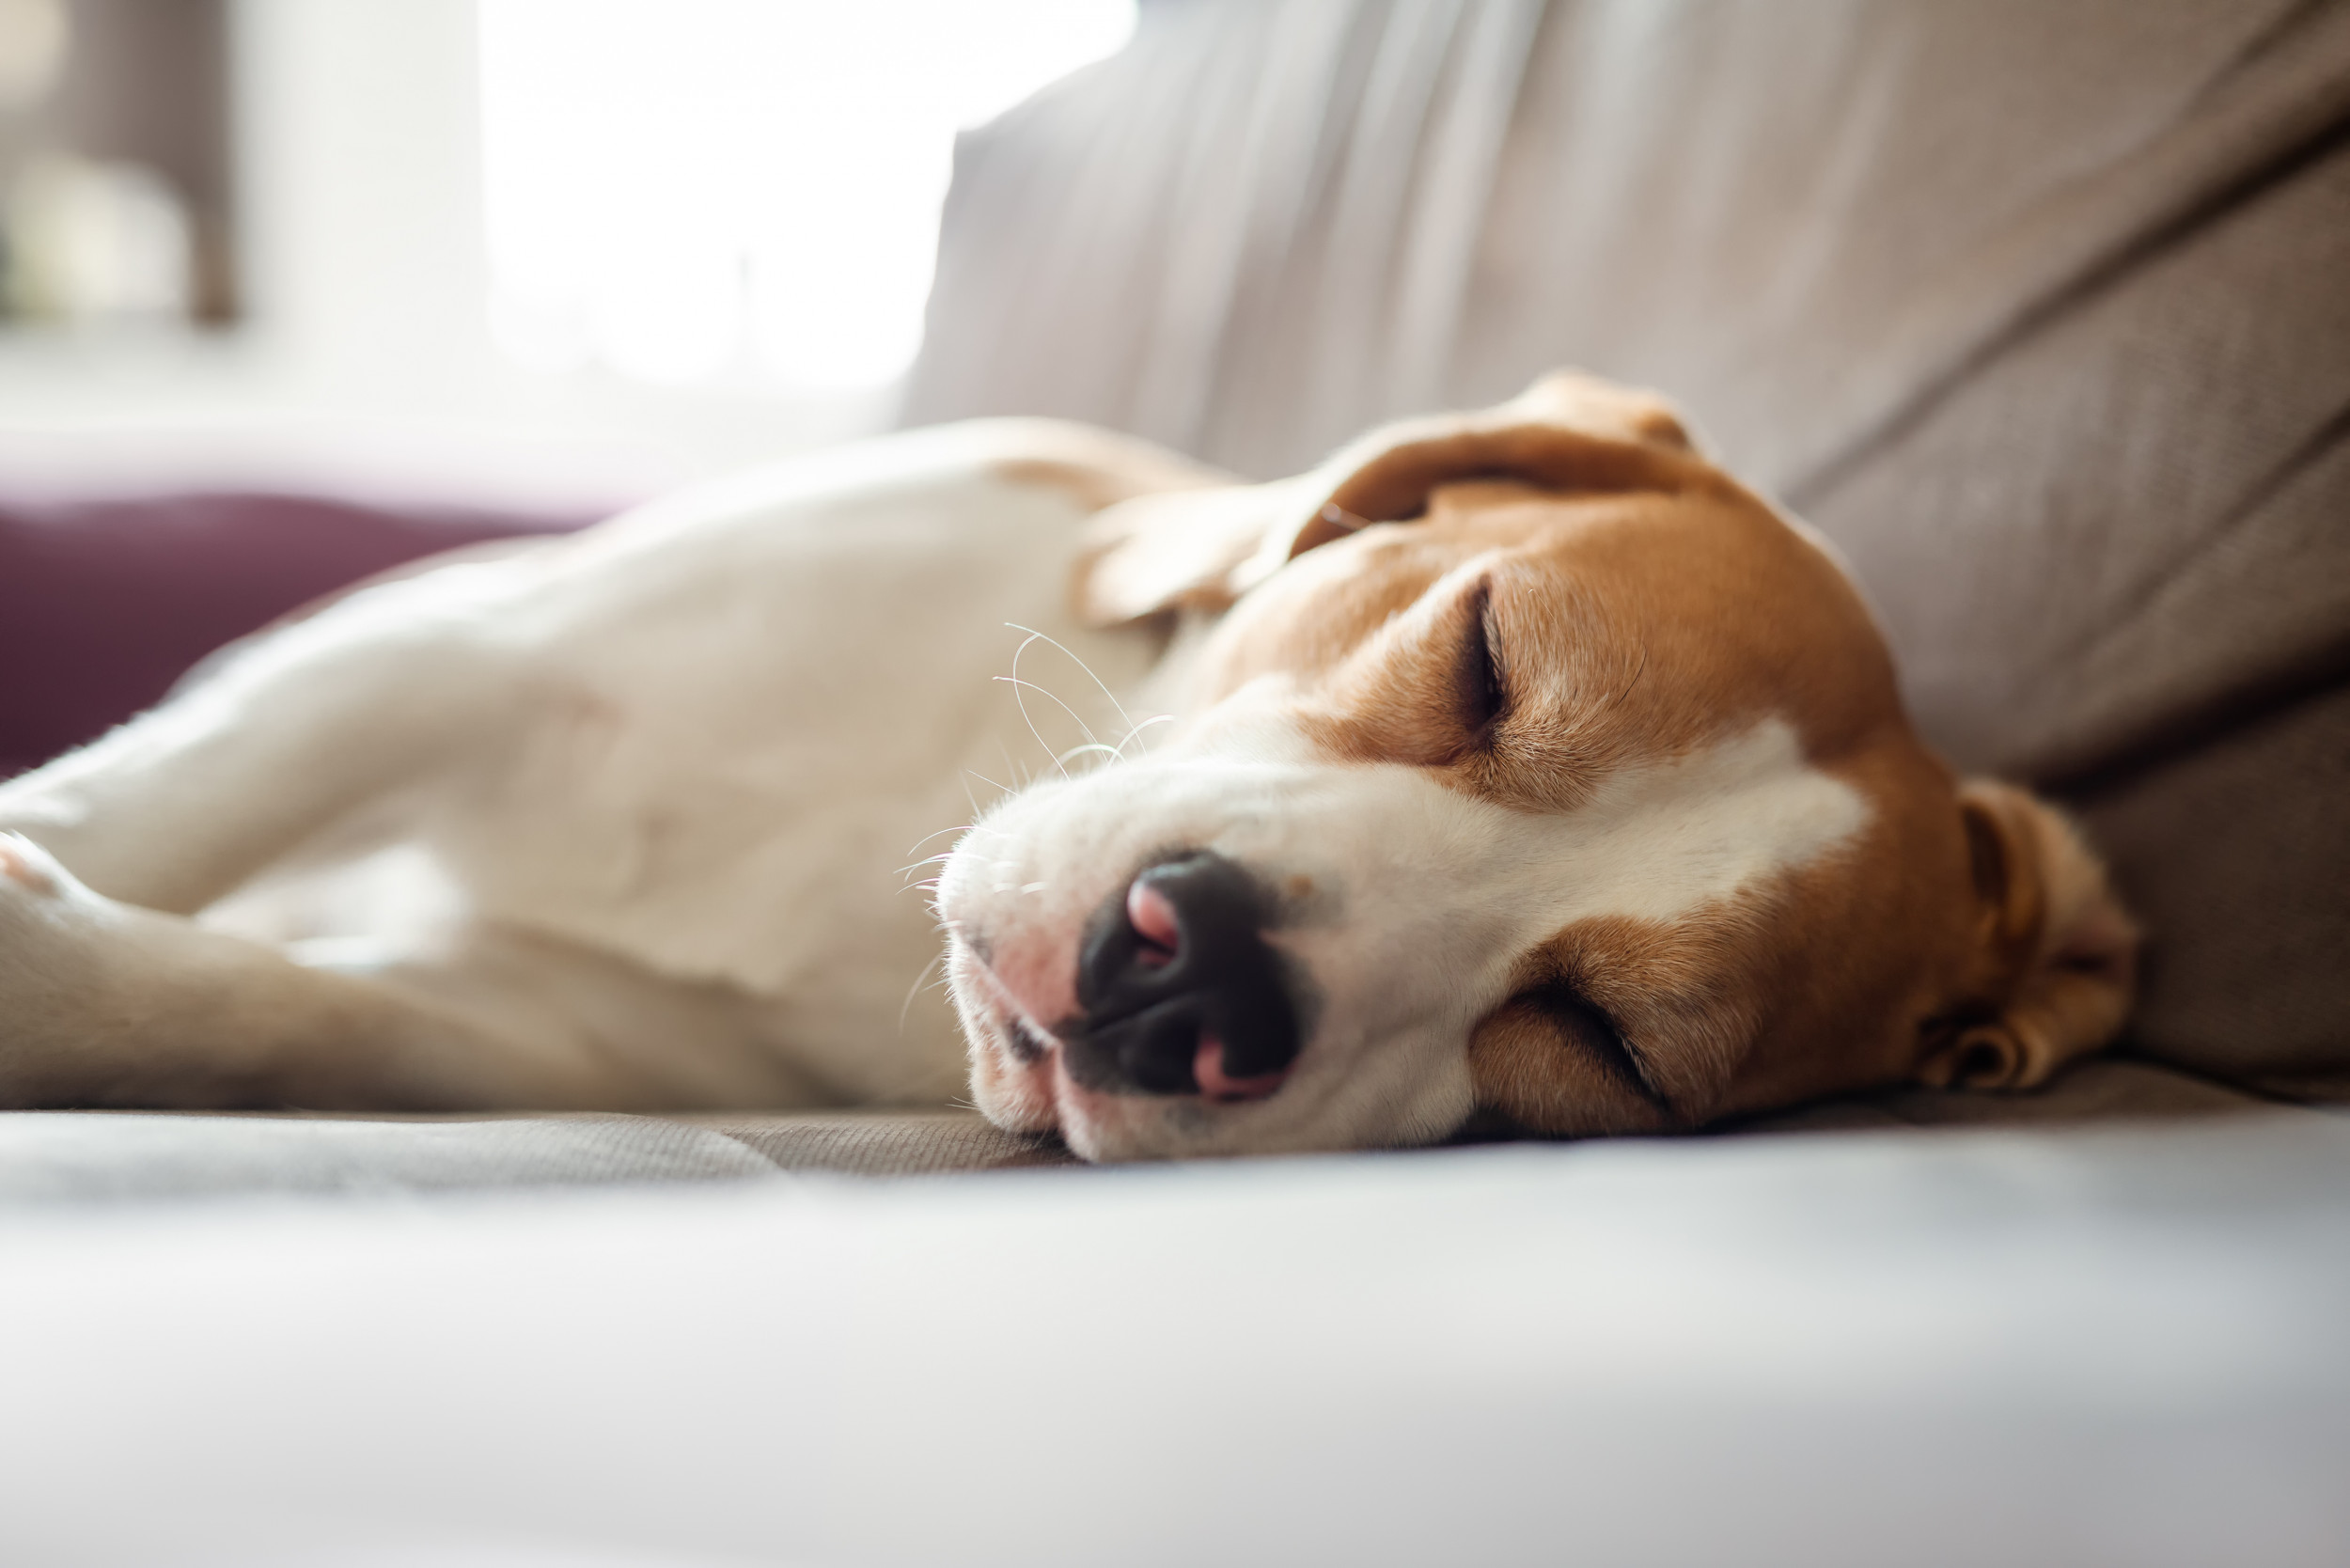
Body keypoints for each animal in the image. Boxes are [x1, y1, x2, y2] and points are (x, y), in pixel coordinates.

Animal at [0, 373, 2134, 1161]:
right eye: (1484, 658)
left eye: (1606, 1048)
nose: (1191, 975)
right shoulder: (455, 652)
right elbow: (189, 796)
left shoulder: (552, 1036)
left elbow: (270, 1008)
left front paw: (74, 987)